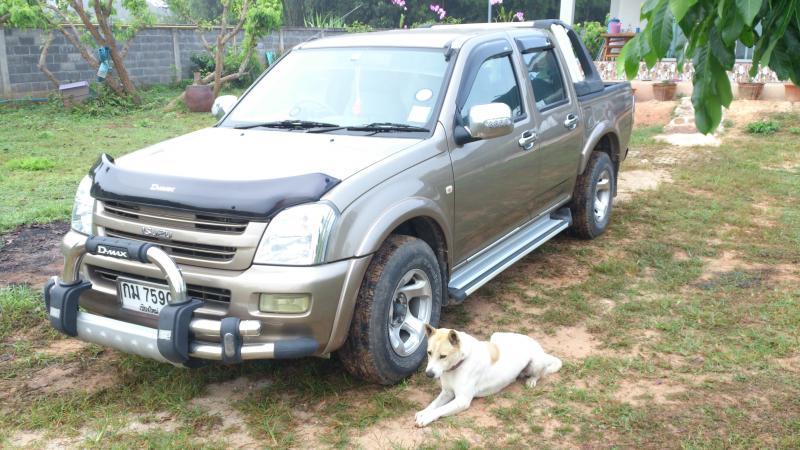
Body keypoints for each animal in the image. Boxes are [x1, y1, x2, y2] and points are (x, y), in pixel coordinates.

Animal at [414, 325, 562, 427]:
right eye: (429, 353)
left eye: (443, 356)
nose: (428, 374)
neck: (459, 363)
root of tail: (533, 341)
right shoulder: (446, 392)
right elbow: (434, 404)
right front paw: (423, 412)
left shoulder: (462, 400)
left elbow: (440, 409)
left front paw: (426, 417)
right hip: (496, 336)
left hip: (536, 363)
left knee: (541, 374)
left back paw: (531, 380)